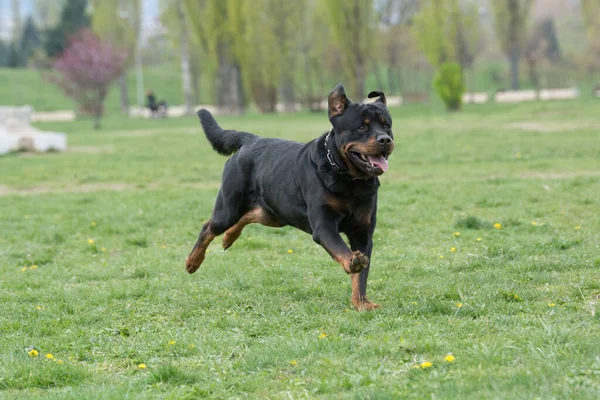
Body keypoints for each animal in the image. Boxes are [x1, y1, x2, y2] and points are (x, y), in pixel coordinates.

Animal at [186, 83, 394, 310]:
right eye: (362, 127)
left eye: (387, 126)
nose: (385, 139)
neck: (350, 181)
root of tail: (250, 139)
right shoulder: (324, 226)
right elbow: (342, 249)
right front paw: (352, 261)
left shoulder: (362, 232)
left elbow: (361, 276)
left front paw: (362, 303)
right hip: (229, 207)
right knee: (209, 227)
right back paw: (193, 261)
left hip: (275, 214)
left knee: (249, 216)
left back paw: (228, 237)